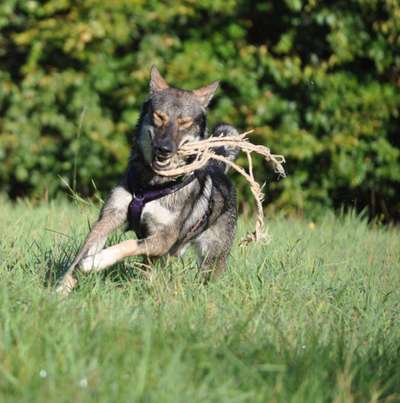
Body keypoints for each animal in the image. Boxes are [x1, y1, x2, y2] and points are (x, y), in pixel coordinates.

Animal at [56, 64, 241, 296]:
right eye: (159, 117)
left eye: (184, 123)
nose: (164, 149)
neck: (150, 186)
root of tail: (218, 166)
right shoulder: (109, 217)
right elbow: (80, 255)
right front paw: (61, 289)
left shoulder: (163, 238)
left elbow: (126, 245)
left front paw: (96, 262)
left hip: (209, 259)